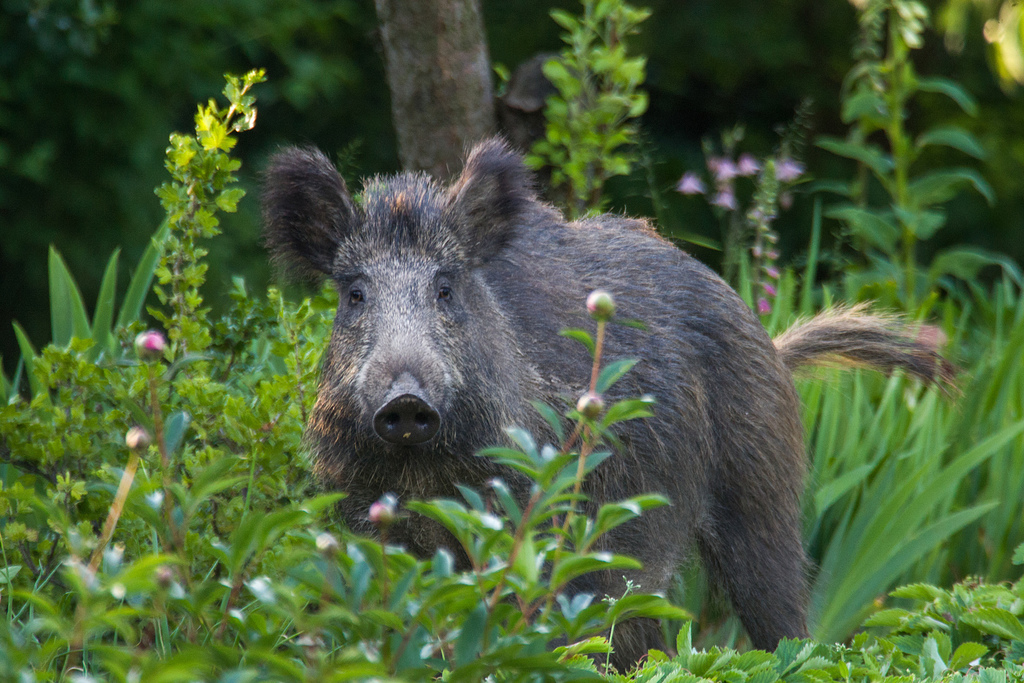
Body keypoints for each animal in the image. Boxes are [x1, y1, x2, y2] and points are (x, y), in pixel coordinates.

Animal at [262, 138, 951, 669]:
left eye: (446, 288)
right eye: (354, 293)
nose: (405, 401)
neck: (424, 472)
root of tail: (773, 347)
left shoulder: (539, 520)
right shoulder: (361, 520)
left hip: (759, 493)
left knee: (780, 615)